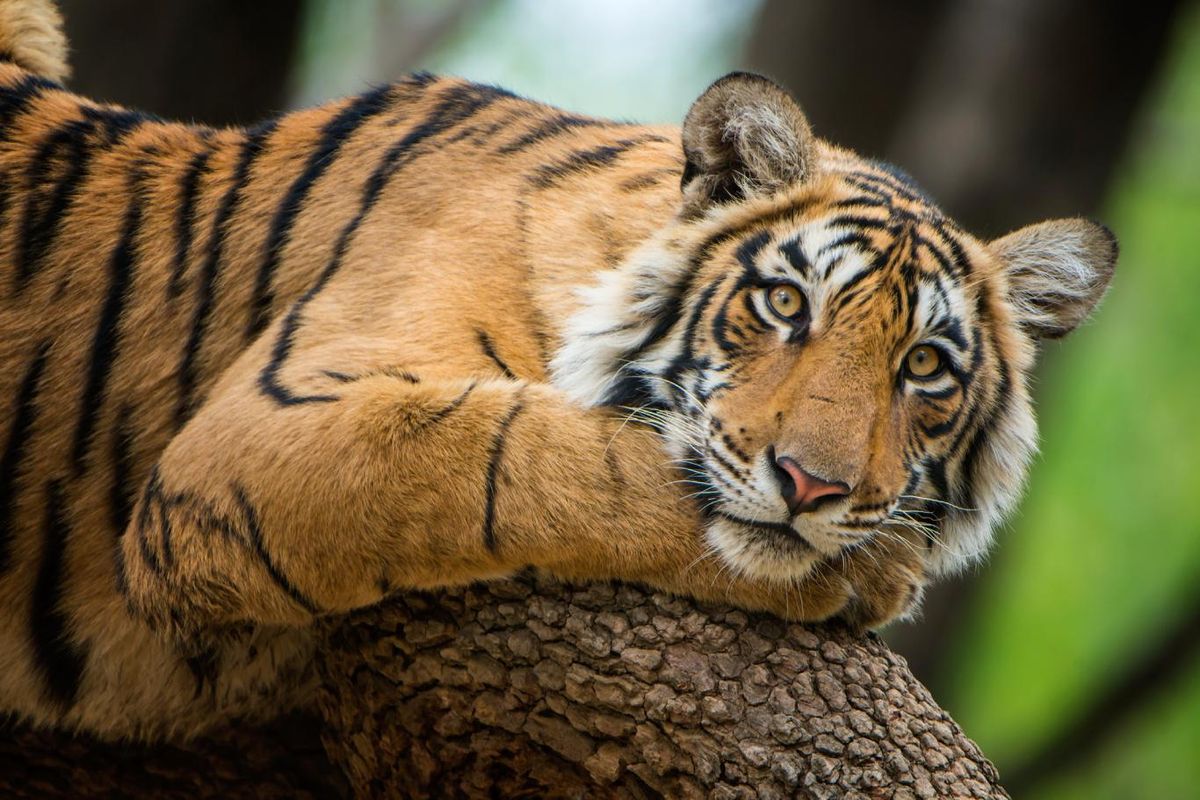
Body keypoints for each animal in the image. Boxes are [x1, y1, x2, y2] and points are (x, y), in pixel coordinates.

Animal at [0, 0, 1116, 742]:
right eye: (786, 305)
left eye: (923, 366)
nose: (814, 487)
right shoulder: (262, 435)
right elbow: (532, 458)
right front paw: (870, 569)